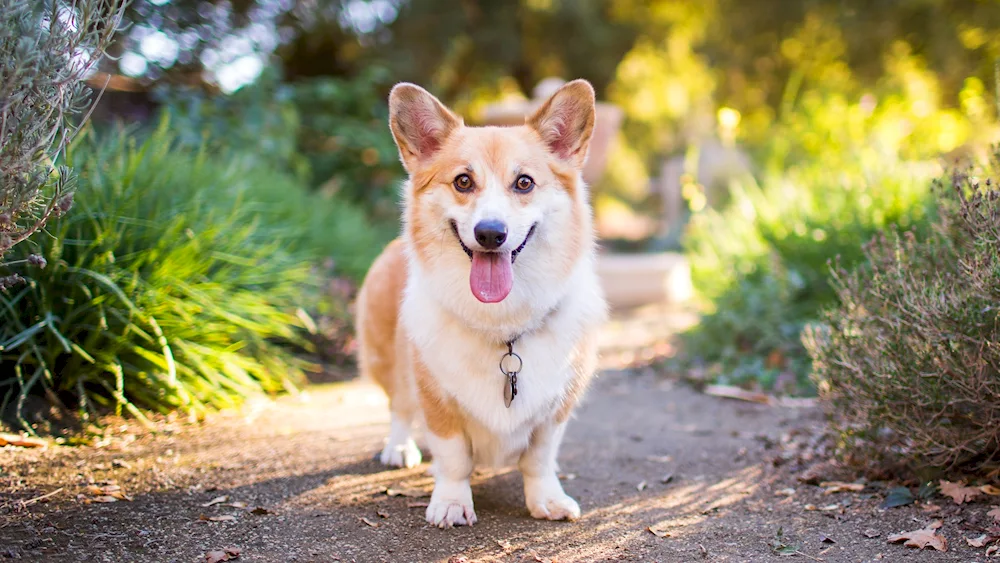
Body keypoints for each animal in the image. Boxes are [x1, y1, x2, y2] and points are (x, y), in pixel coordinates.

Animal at [360, 78, 608, 528]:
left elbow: (539, 459)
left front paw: (547, 499)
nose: (490, 233)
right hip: (386, 358)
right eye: (462, 181)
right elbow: (454, 457)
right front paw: (451, 504)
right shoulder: (436, 396)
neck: (503, 323)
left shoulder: (556, 408)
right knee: (399, 405)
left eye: (524, 183)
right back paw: (399, 448)